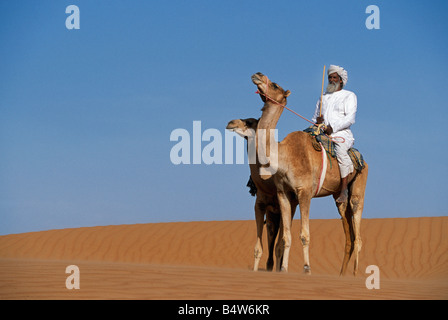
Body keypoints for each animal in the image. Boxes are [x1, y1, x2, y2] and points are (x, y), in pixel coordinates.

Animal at [226, 117, 282, 270]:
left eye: (250, 122)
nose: (231, 123)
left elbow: (280, 247)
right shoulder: (259, 205)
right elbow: (258, 249)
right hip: (271, 214)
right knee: (271, 234)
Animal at [248, 72, 368, 276]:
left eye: (275, 84)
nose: (258, 75)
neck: (285, 156)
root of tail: (363, 160)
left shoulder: (304, 193)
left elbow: (304, 234)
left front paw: (306, 268)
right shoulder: (283, 193)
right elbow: (286, 237)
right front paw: (284, 269)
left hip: (359, 186)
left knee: (358, 233)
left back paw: (354, 275)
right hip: (339, 199)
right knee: (349, 233)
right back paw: (342, 274)